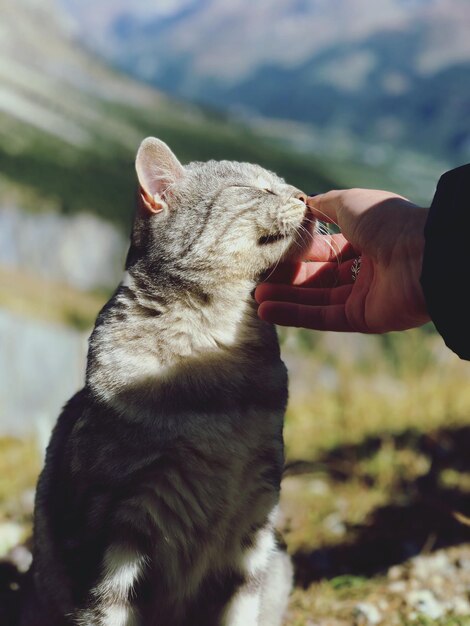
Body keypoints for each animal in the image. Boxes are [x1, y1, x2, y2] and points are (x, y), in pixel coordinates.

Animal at [18, 138, 314, 624]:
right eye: (258, 189)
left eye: (282, 183)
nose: (306, 196)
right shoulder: (113, 525)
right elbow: (102, 611)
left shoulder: (255, 517)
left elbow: (241, 608)